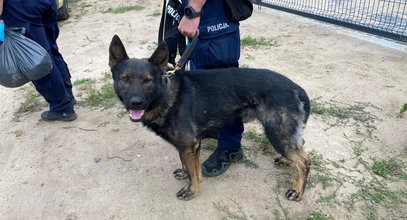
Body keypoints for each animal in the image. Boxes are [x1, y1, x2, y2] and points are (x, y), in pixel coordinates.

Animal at [109, 35, 312, 201]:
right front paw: (184, 173)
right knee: (299, 146)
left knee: (304, 161)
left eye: (147, 80)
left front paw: (191, 190)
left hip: (277, 133)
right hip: (283, 135)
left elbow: (195, 172)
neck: (166, 94)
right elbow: (186, 164)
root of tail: (296, 88)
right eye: (125, 79)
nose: (135, 103)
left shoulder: (189, 145)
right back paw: (287, 161)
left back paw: (297, 191)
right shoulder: (185, 146)